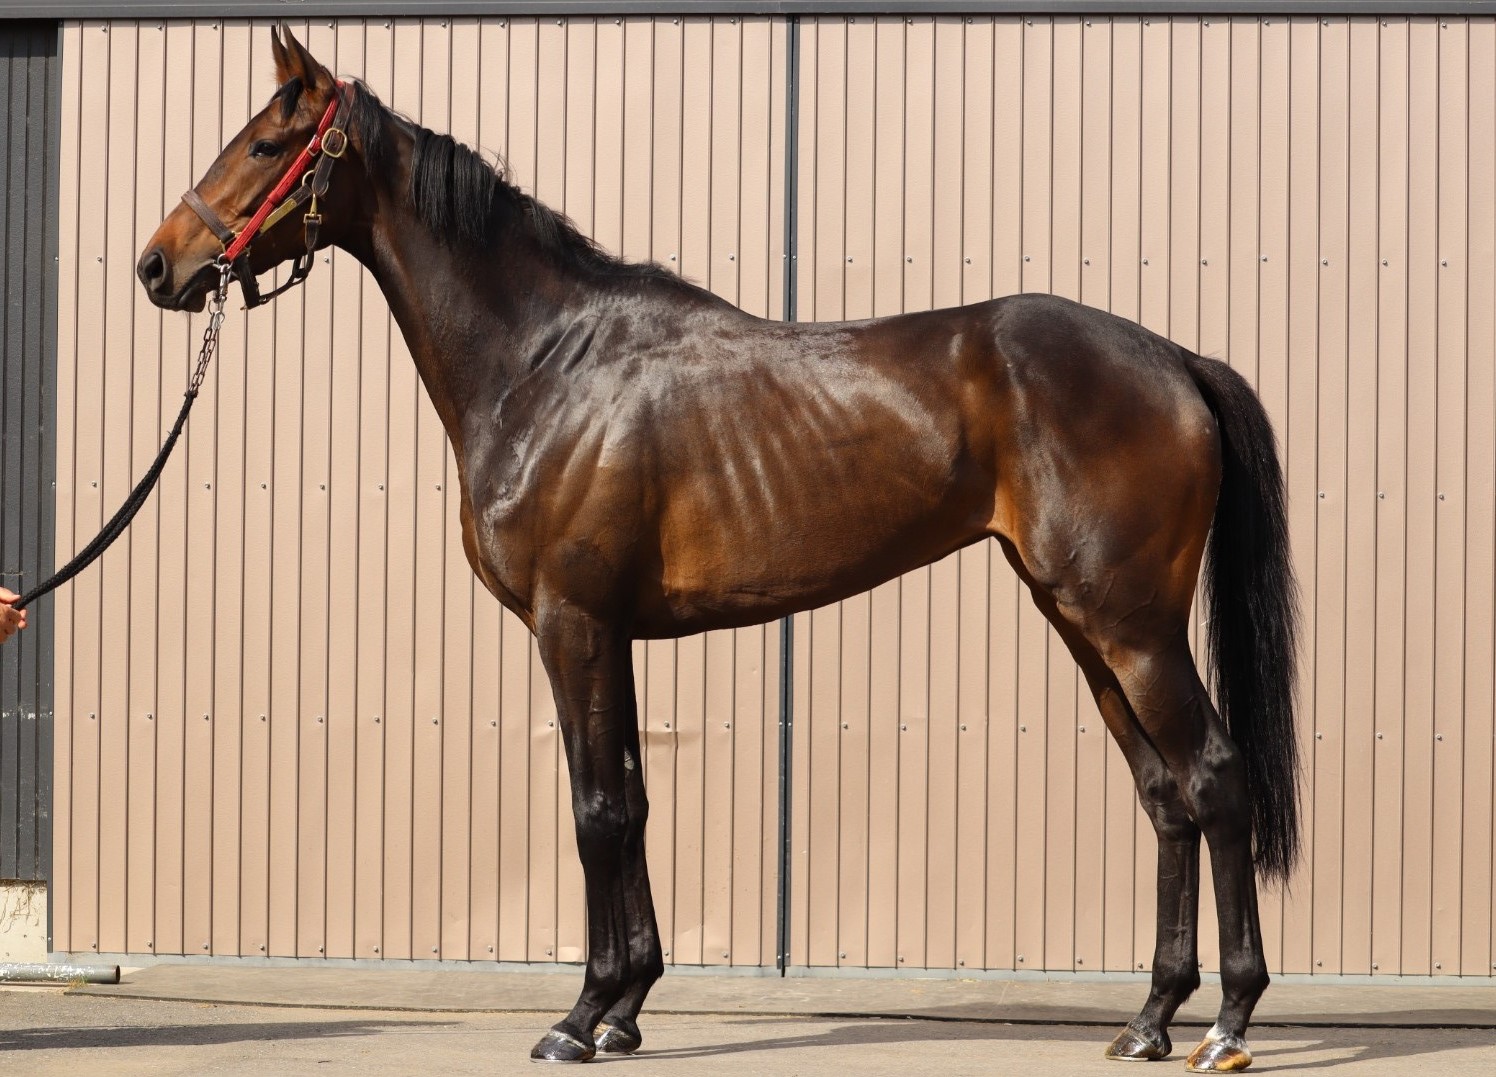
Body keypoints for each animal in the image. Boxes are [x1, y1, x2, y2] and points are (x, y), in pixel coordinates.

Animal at [138, 26, 1299, 1072]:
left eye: (262, 144)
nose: (158, 264)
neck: (546, 360)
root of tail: (1173, 359)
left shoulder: (571, 623)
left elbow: (595, 811)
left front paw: (577, 1018)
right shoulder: (613, 634)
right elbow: (634, 803)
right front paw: (625, 1008)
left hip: (1131, 627)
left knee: (1213, 778)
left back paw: (1227, 1024)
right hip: (1082, 623)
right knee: (1163, 798)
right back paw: (1149, 1019)